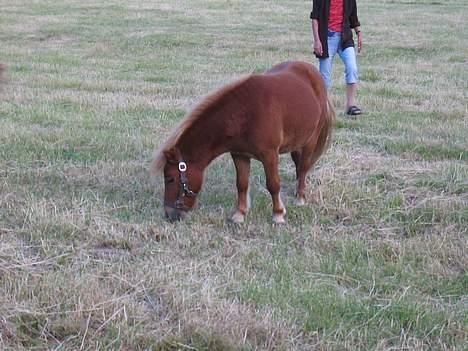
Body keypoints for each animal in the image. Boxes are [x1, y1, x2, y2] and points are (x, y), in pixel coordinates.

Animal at [152, 60, 334, 223]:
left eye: (170, 178)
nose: (169, 215)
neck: (244, 114)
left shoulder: (269, 155)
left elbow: (273, 184)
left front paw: (278, 214)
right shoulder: (239, 155)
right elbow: (242, 184)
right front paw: (239, 214)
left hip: (310, 140)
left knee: (303, 168)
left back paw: (300, 198)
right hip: (296, 141)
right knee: (298, 164)